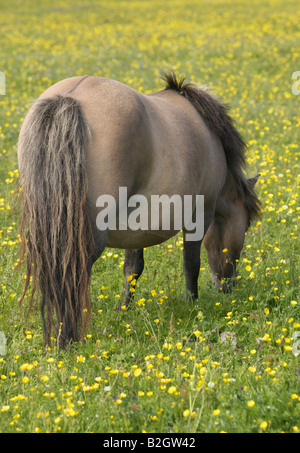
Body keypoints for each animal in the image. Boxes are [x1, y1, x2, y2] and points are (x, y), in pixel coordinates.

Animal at [17, 72, 260, 346]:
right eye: (246, 226)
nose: (228, 288)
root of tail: (69, 98)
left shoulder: (135, 227)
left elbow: (132, 269)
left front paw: (124, 309)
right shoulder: (200, 213)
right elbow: (191, 263)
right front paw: (192, 304)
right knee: (72, 271)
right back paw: (67, 337)